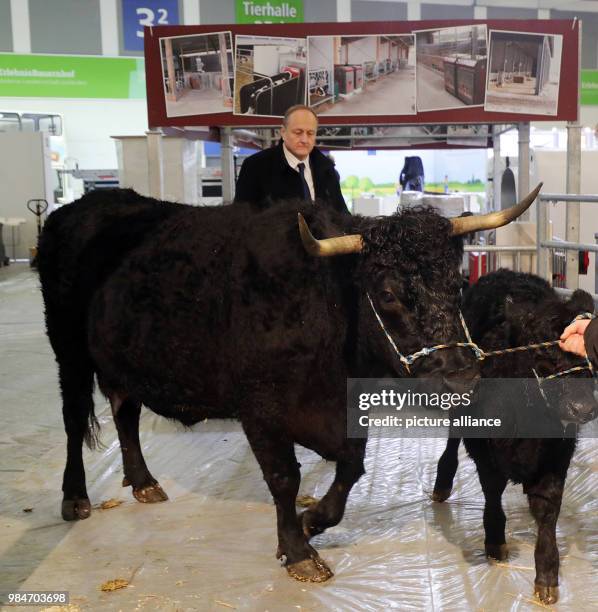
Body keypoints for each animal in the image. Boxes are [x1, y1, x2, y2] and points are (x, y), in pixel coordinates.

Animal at [37, 186, 544, 584]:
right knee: (72, 418)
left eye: (457, 284)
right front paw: (298, 551)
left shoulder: (347, 410)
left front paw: (311, 521)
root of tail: (85, 205)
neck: (325, 306)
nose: (460, 374)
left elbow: (350, 469)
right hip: (68, 350)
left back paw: (143, 481)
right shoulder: (261, 409)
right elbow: (284, 478)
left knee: (125, 410)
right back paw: (75, 496)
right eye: (387, 294)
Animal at [434, 270, 596, 604]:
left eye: (582, 351)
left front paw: (547, 575)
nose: (583, 408)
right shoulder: (484, 448)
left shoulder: (558, 452)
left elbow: (547, 507)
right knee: (452, 438)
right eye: (538, 349)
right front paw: (495, 539)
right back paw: (442, 483)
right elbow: (492, 488)